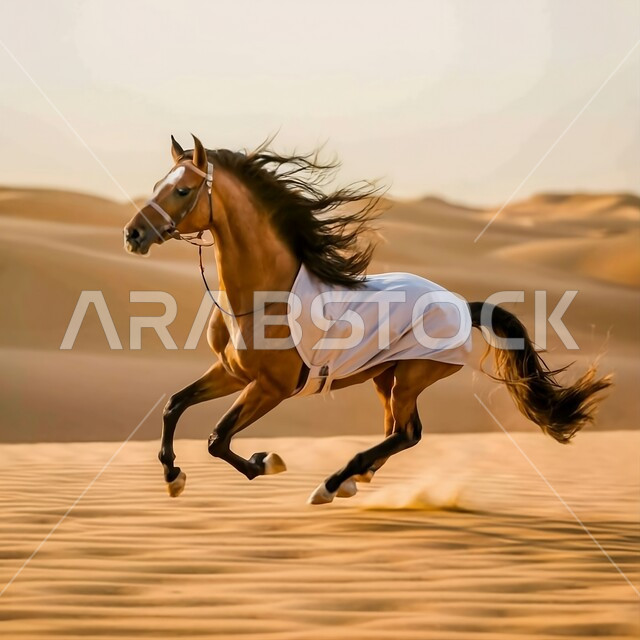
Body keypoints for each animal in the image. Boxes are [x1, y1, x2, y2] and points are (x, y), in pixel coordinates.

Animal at [123, 135, 611, 504]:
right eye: (158, 183)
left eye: (183, 191)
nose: (132, 234)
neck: (262, 299)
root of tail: (459, 303)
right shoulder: (231, 372)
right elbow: (174, 406)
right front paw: (173, 477)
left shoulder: (270, 388)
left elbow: (217, 438)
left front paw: (267, 462)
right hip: (384, 376)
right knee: (398, 432)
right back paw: (355, 479)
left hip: (410, 377)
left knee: (408, 433)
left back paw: (333, 483)